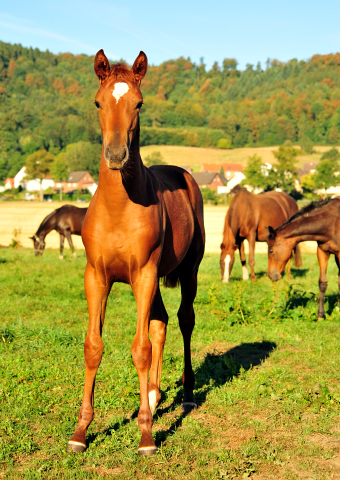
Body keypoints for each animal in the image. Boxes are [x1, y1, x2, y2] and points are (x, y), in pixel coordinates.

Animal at [66, 50, 205, 456]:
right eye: (98, 102)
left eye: (139, 103)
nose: (115, 155)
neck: (119, 207)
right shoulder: (97, 276)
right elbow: (93, 346)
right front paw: (80, 432)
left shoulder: (143, 273)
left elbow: (140, 348)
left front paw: (145, 437)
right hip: (154, 280)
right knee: (159, 322)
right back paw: (155, 396)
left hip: (186, 272)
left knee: (183, 320)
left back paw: (186, 395)